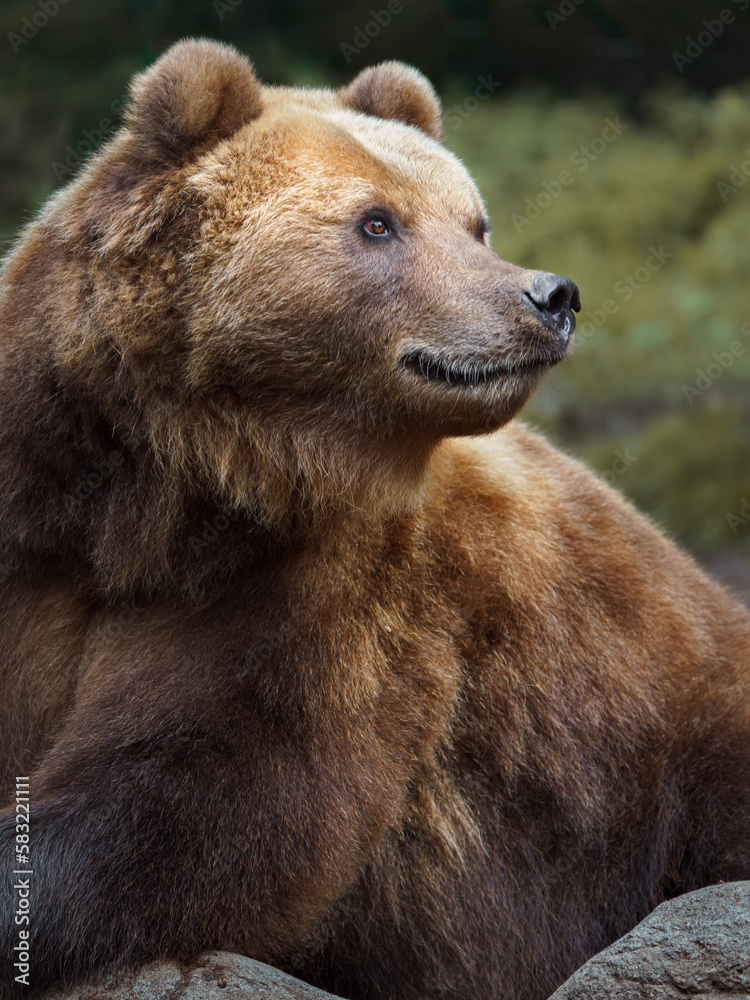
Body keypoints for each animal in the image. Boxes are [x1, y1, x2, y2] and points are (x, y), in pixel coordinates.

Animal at [1, 37, 750, 1000]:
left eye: (473, 223)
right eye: (378, 223)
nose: (550, 296)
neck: (148, 502)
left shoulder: (323, 592)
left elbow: (205, 794)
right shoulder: (36, 530)